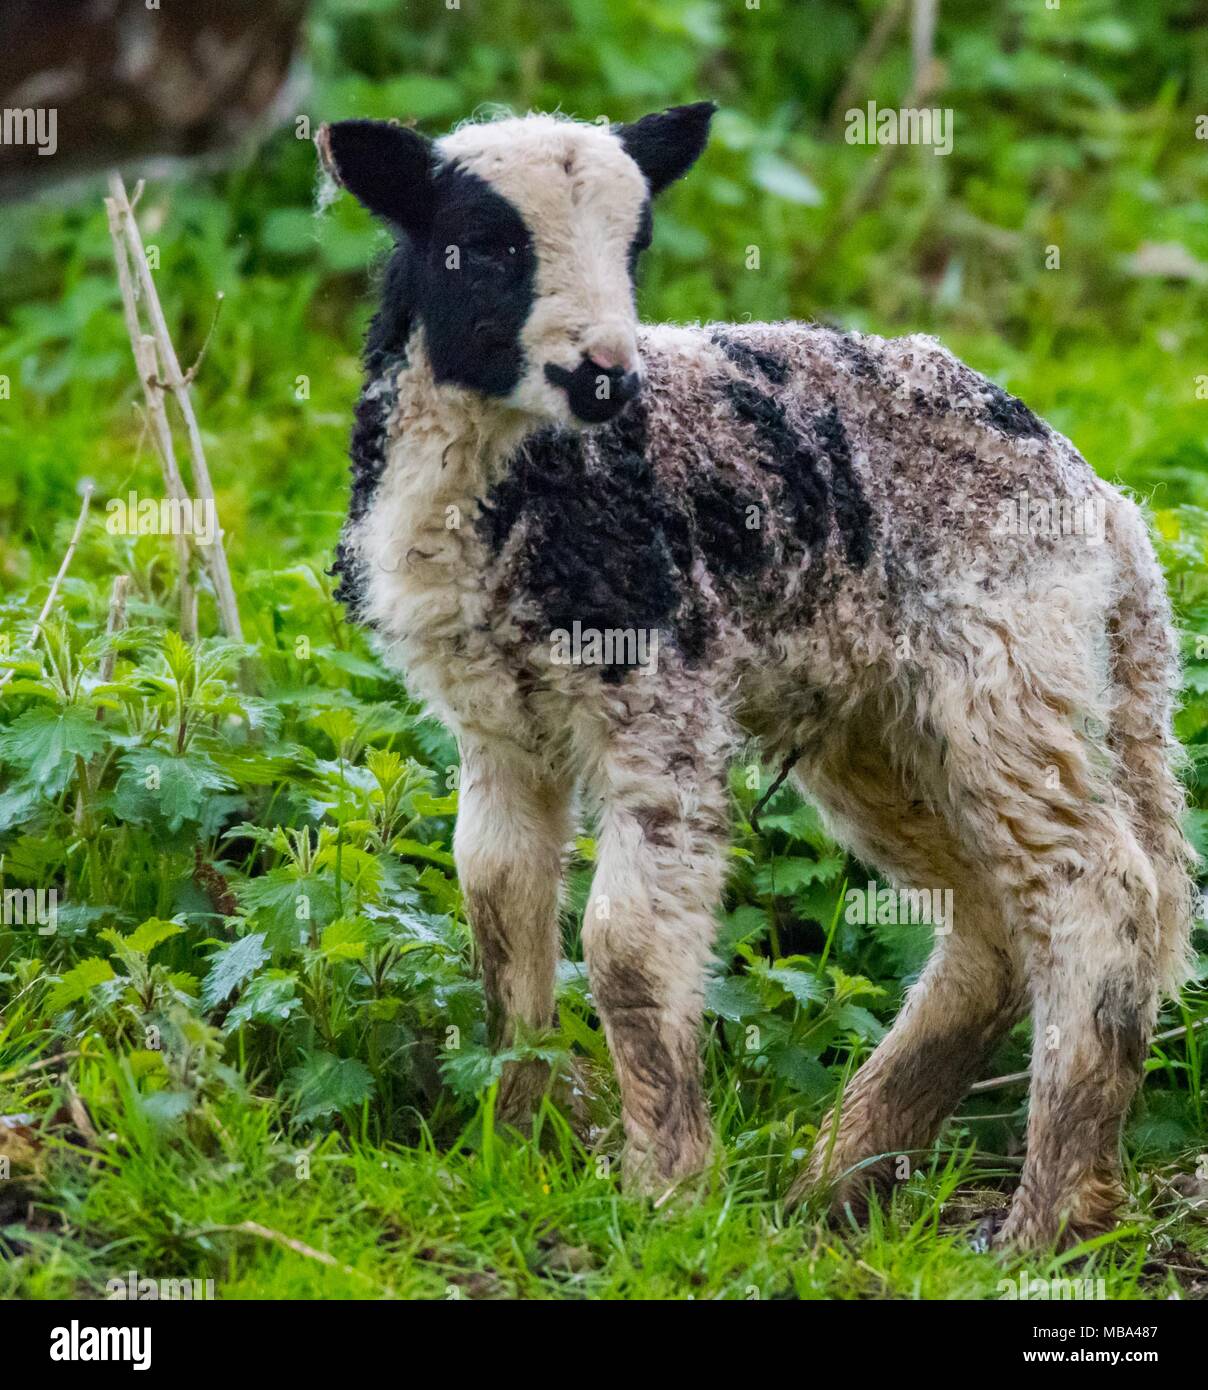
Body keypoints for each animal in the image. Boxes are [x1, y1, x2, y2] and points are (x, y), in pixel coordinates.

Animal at [317, 104, 1196, 1249]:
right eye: (488, 243)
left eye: (636, 244)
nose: (605, 376)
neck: (521, 483)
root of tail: (1105, 506)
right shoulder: (494, 723)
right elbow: (499, 915)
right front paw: (517, 1149)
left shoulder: (658, 701)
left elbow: (625, 946)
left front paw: (667, 1188)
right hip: (881, 718)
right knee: (991, 922)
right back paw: (839, 1177)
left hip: (1006, 670)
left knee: (1097, 893)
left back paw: (1044, 1220)